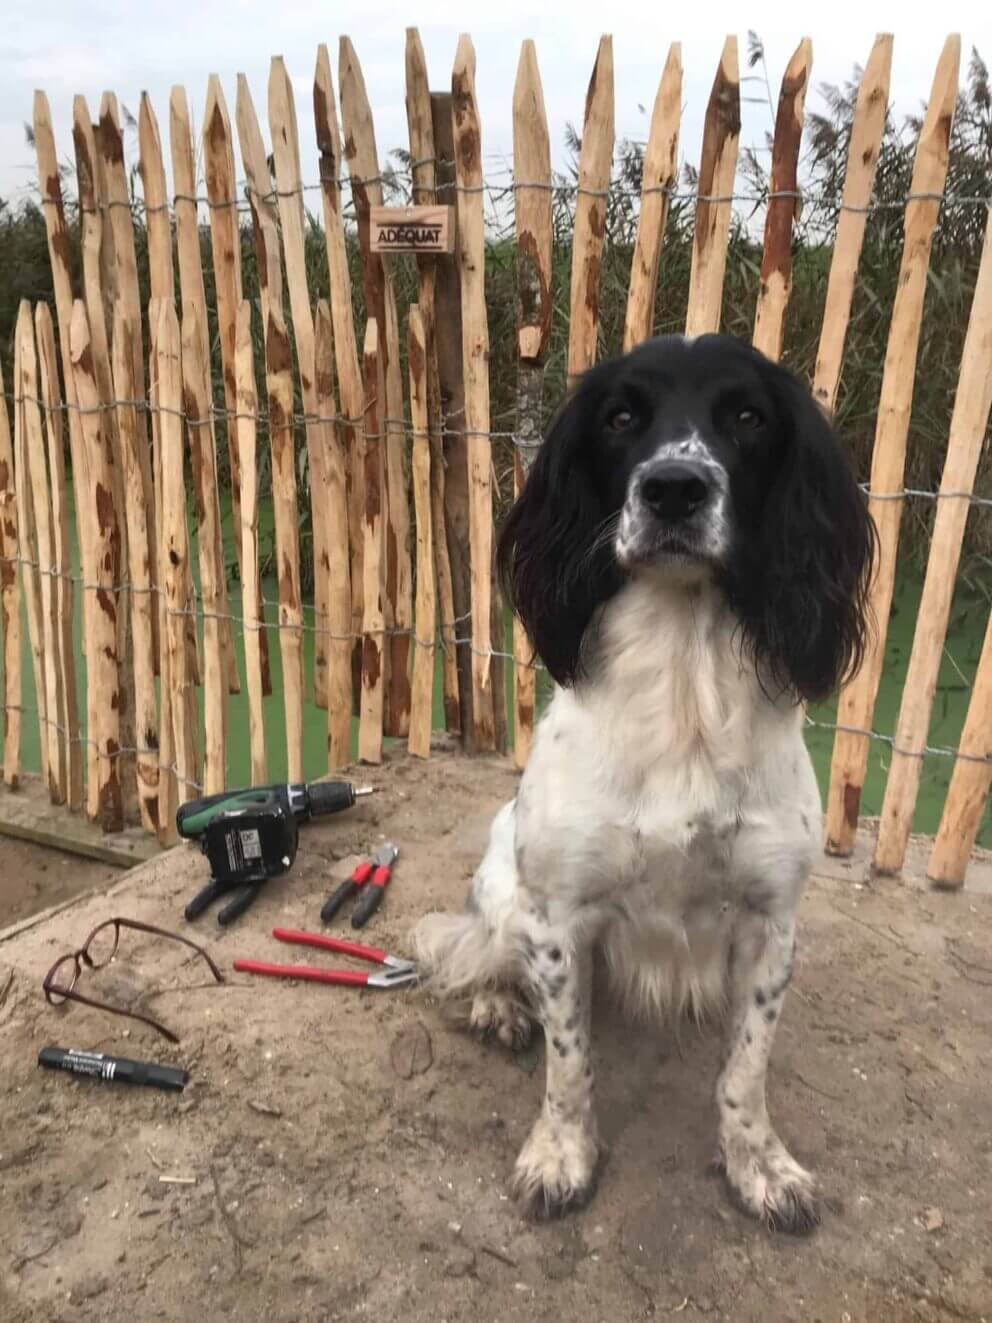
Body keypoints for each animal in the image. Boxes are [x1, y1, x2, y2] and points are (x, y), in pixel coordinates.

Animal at [415, 330, 872, 1227]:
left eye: (747, 416)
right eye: (621, 417)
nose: (673, 489)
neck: (684, 679)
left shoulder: (772, 925)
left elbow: (745, 1071)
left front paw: (759, 1164)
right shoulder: (559, 918)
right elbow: (569, 1065)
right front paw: (561, 1154)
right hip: (507, 890)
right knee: (483, 949)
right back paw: (497, 1003)